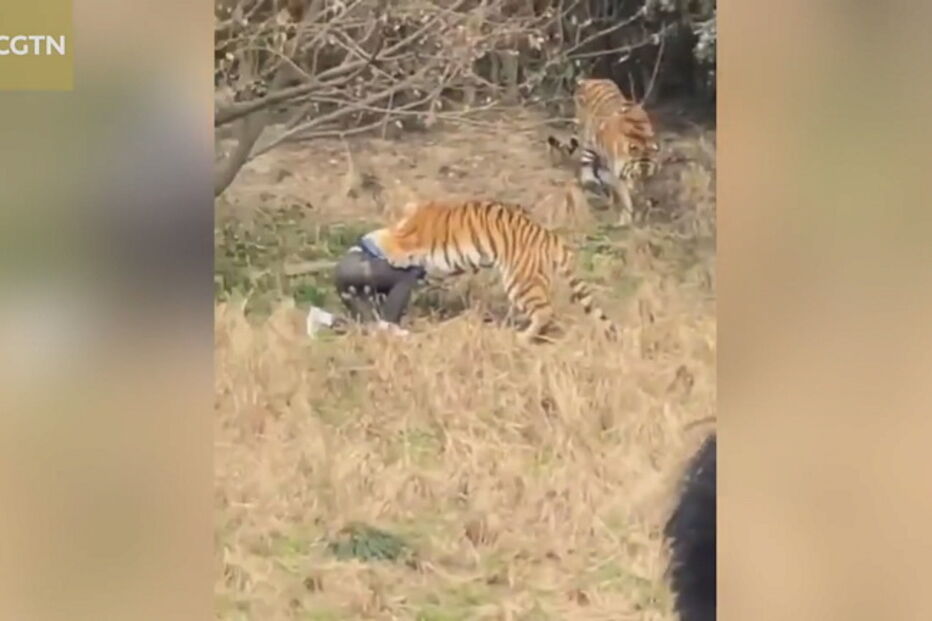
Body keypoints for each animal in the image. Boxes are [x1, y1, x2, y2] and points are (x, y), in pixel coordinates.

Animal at [361, 198, 619, 342]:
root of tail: (552, 238)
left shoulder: (407, 240)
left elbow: (387, 239)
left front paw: (370, 239)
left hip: (520, 281)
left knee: (545, 311)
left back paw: (521, 337)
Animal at [548, 78, 661, 225]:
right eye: (635, 174)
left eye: (648, 177)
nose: (638, 188)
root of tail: (588, 80)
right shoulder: (619, 173)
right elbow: (624, 195)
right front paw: (626, 217)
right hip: (586, 138)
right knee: (586, 169)